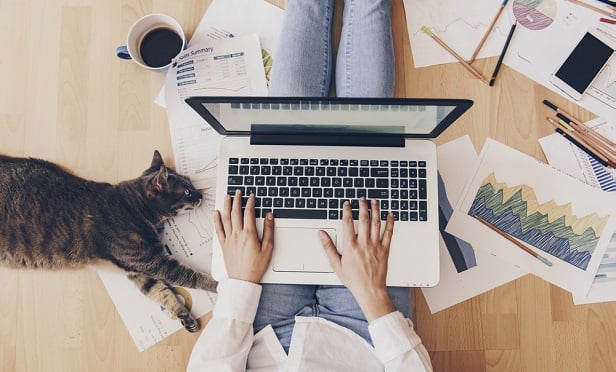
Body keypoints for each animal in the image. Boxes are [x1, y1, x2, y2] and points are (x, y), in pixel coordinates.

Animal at [0, 150, 218, 332]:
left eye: (191, 184)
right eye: (187, 191)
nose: (201, 194)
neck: (135, 207)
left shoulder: (138, 270)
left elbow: (161, 293)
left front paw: (183, 315)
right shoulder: (154, 263)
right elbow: (191, 277)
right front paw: (218, 285)